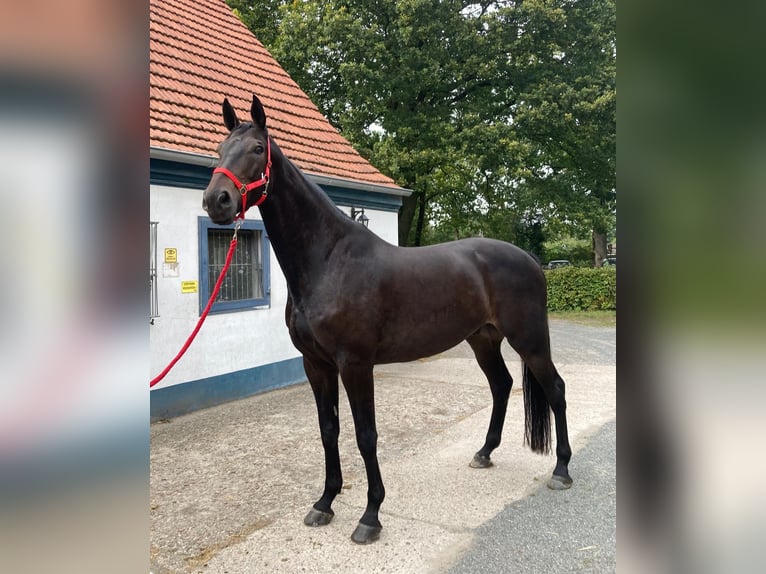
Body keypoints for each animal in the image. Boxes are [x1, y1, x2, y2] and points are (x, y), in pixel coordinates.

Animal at [201, 93, 572, 544]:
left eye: (257, 149)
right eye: (220, 149)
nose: (216, 200)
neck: (328, 261)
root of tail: (530, 260)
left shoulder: (355, 364)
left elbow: (366, 435)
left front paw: (370, 516)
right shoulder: (316, 364)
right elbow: (329, 430)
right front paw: (325, 503)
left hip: (529, 339)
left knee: (555, 389)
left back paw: (562, 469)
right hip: (483, 339)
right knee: (501, 386)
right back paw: (484, 453)